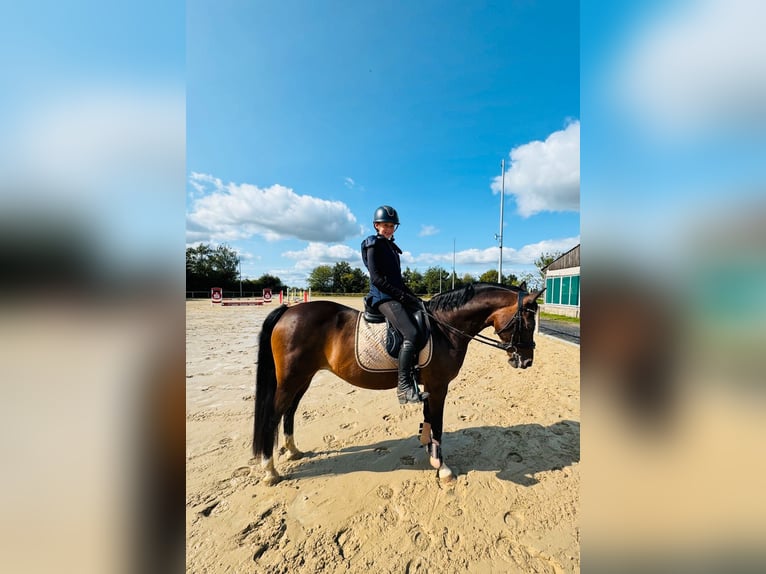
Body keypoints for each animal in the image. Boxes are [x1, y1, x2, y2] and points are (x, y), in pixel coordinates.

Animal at [255, 284, 544, 486]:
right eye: (528, 322)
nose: (527, 361)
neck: (445, 328)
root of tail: (289, 310)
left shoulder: (429, 386)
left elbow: (428, 420)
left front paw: (429, 452)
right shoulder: (438, 386)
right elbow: (437, 423)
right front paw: (442, 467)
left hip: (303, 378)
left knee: (290, 411)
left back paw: (293, 451)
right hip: (291, 379)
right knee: (273, 416)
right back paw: (270, 471)